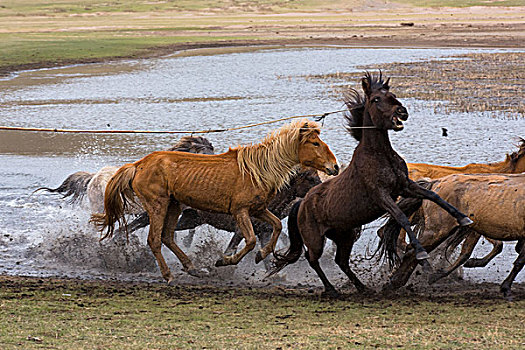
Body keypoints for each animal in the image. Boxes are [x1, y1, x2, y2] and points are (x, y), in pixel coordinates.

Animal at [90, 119, 338, 284]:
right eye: (315, 143)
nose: (334, 167)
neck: (258, 170)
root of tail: (138, 165)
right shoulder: (240, 213)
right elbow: (247, 241)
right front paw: (224, 262)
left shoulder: (259, 212)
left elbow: (275, 228)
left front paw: (263, 260)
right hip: (157, 206)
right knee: (152, 238)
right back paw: (167, 274)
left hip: (177, 209)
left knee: (167, 237)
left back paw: (194, 269)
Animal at [270, 72, 470, 296]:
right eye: (375, 99)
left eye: (392, 95)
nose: (402, 111)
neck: (379, 155)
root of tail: (301, 203)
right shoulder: (381, 196)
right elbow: (402, 218)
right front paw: (422, 256)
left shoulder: (405, 186)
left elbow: (434, 196)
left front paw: (463, 219)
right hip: (315, 239)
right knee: (313, 260)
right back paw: (332, 289)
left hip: (345, 235)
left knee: (341, 261)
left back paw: (362, 287)